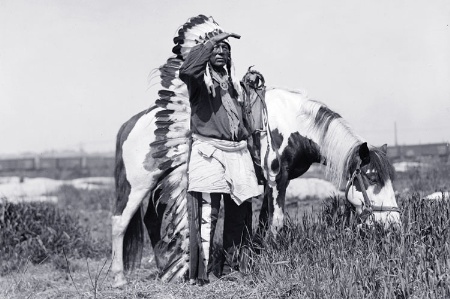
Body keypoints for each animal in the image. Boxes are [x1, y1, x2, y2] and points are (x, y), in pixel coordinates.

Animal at [111, 79, 400, 288]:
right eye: (372, 176)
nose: (393, 225)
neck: (293, 123)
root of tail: (131, 123)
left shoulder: (272, 183)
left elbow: (262, 224)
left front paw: (258, 258)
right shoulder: (278, 180)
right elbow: (277, 223)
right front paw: (275, 260)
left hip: (160, 183)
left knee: (151, 220)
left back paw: (165, 270)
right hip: (138, 185)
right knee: (119, 222)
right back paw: (119, 279)